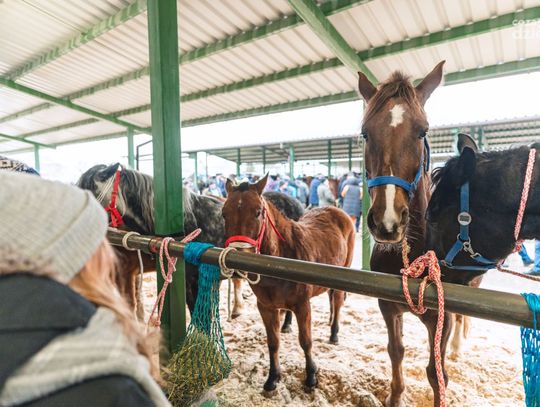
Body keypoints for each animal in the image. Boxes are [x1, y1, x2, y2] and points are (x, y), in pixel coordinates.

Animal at [221, 175, 355, 392]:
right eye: (224, 213)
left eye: (257, 212)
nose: (237, 264)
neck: (280, 259)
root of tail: (336, 210)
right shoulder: (266, 307)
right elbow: (273, 342)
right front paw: (273, 377)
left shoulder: (303, 305)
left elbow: (306, 341)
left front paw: (311, 376)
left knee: (337, 300)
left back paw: (333, 333)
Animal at [357, 61, 447, 406]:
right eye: (365, 133)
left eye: (422, 131)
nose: (388, 222)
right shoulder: (387, 305)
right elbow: (396, 351)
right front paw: (395, 396)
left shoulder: (442, 319)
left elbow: (436, 372)